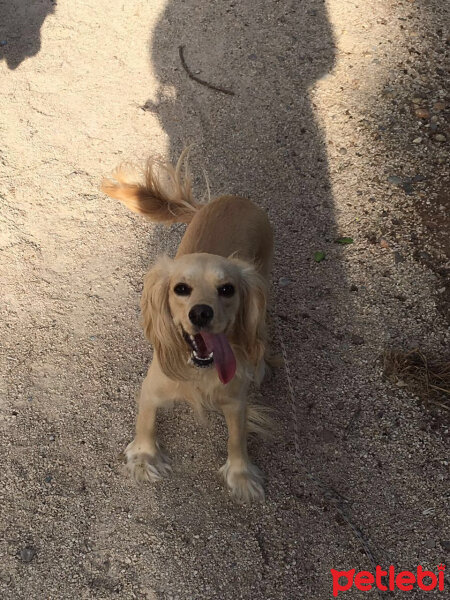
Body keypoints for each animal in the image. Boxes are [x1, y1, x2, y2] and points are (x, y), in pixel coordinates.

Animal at [102, 152, 274, 500]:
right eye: (181, 288)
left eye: (227, 289)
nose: (201, 313)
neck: (199, 372)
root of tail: (233, 199)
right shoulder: (151, 388)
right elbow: (145, 422)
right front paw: (145, 459)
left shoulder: (236, 400)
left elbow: (237, 438)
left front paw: (241, 476)